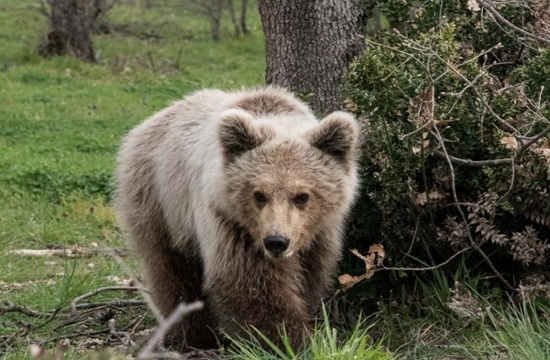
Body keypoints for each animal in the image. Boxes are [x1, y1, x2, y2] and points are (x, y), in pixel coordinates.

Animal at [114, 86, 360, 350]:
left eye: (302, 196)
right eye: (259, 194)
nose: (276, 241)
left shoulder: (320, 233)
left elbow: (312, 274)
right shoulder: (229, 223)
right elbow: (247, 281)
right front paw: (286, 339)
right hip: (160, 201)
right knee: (171, 269)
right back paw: (196, 335)